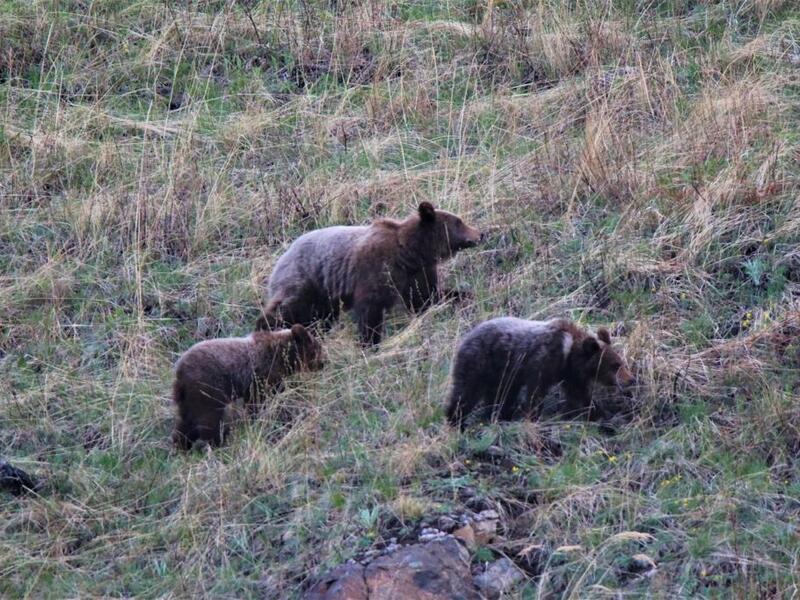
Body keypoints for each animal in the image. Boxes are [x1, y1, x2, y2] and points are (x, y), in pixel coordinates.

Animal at [171, 324, 323, 449]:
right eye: (318, 348)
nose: (323, 363)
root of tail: (179, 371)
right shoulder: (262, 374)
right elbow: (259, 400)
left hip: (187, 398)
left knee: (185, 421)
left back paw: (181, 444)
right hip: (208, 387)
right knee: (208, 418)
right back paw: (216, 442)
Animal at [256, 202, 482, 345]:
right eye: (459, 222)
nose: (480, 233)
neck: (410, 253)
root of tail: (281, 257)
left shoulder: (417, 274)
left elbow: (425, 297)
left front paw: (463, 296)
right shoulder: (375, 270)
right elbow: (370, 310)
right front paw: (370, 342)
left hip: (324, 297)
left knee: (320, 317)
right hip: (306, 280)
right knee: (287, 308)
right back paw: (265, 328)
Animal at [445, 317, 635, 429]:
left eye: (622, 363)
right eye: (615, 365)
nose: (631, 379)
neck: (568, 354)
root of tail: (466, 336)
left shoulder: (570, 375)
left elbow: (580, 395)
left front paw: (599, 414)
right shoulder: (541, 362)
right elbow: (535, 392)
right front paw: (533, 416)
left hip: (500, 375)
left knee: (499, 395)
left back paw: (498, 416)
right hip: (480, 363)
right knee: (466, 392)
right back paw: (456, 420)